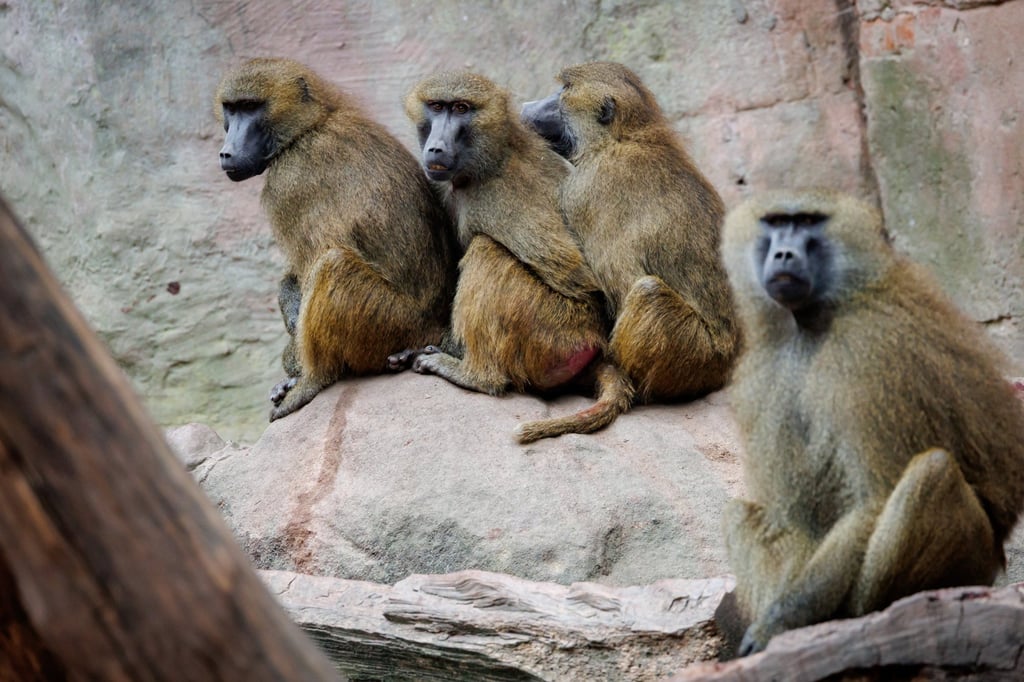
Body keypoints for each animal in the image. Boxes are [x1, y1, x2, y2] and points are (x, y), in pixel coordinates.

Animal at [215, 58, 458, 421]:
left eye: (250, 107)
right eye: (231, 108)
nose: (226, 153)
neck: (311, 126)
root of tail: (435, 328)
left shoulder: (288, 183)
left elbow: (312, 263)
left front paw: (295, 363)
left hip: (390, 324)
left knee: (333, 265)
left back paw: (312, 380)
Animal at [391, 71, 633, 442]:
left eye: (461, 109)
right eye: (436, 107)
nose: (436, 147)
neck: (492, 154)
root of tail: (594, 344)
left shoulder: (497, 198)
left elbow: (579, 278)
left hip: (554, 336)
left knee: (486, 250)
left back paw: (474, 375)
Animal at [519, 62, 740, 433]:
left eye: (564, 90)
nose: (525, 107)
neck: (623, 137)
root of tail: (728, 361)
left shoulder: (582, 190)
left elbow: (606, 287)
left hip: (695, 356)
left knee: (647, 291)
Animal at [719, 189, 1024, 655]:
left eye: (808, 222)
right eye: (775, 222)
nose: (784, 254)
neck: (815, 319)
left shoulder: (863, 356)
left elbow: (874, 498)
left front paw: (777, 625)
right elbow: (795, 520)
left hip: (975, 560)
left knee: (930, 472)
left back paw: (876, 611)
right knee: (739, 515)